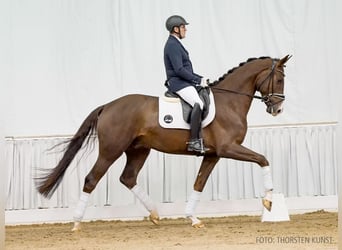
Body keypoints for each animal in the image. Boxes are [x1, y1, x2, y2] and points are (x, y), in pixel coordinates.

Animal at [35, 54, 292, 230]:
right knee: (91, 179)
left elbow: (199, 184)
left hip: (138, 150)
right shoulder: (228, 148)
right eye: (279, 79)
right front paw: (269, 201)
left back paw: (155, 213)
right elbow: (263, 159)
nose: (278, 109)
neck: (229, 102)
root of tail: (107, 106)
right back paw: (76, 223)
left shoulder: (213, 154)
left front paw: (193, 218)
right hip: (111, 150)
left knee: (128, 177)